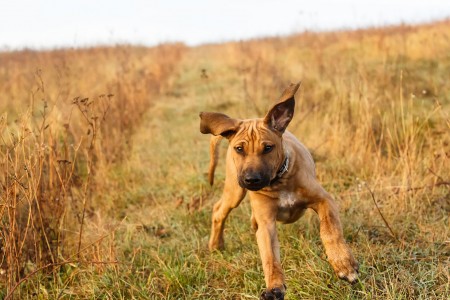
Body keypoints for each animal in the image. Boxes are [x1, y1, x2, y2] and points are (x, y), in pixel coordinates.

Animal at [200, 82, 358, 300]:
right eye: (239, 149)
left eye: (268, 147)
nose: (251, 180)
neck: (279, 180)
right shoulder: (267, 223)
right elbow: (269, 257)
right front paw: (274, 287)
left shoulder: (324, 200)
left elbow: (330, 229)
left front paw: (344, 264)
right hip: (235, 190)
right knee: (218, 210)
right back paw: (216, 245)